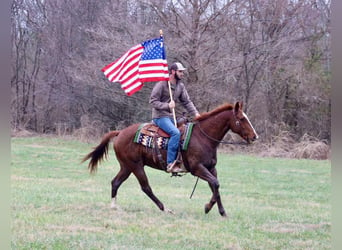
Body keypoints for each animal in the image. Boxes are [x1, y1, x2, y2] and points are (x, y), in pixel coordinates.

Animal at [82, 101, 256, 217]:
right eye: (241, 119)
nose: (255, 136)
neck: (203, 137)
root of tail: (120, 133)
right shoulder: (197, 169)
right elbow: (215, 184)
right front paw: (207, 207)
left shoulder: (211, 168)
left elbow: (215, 186)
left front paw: (222, 212)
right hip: (136, 166)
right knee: (146, 187)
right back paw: (165, 208)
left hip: (126, 167)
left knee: (115, 182)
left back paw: (113, 206)